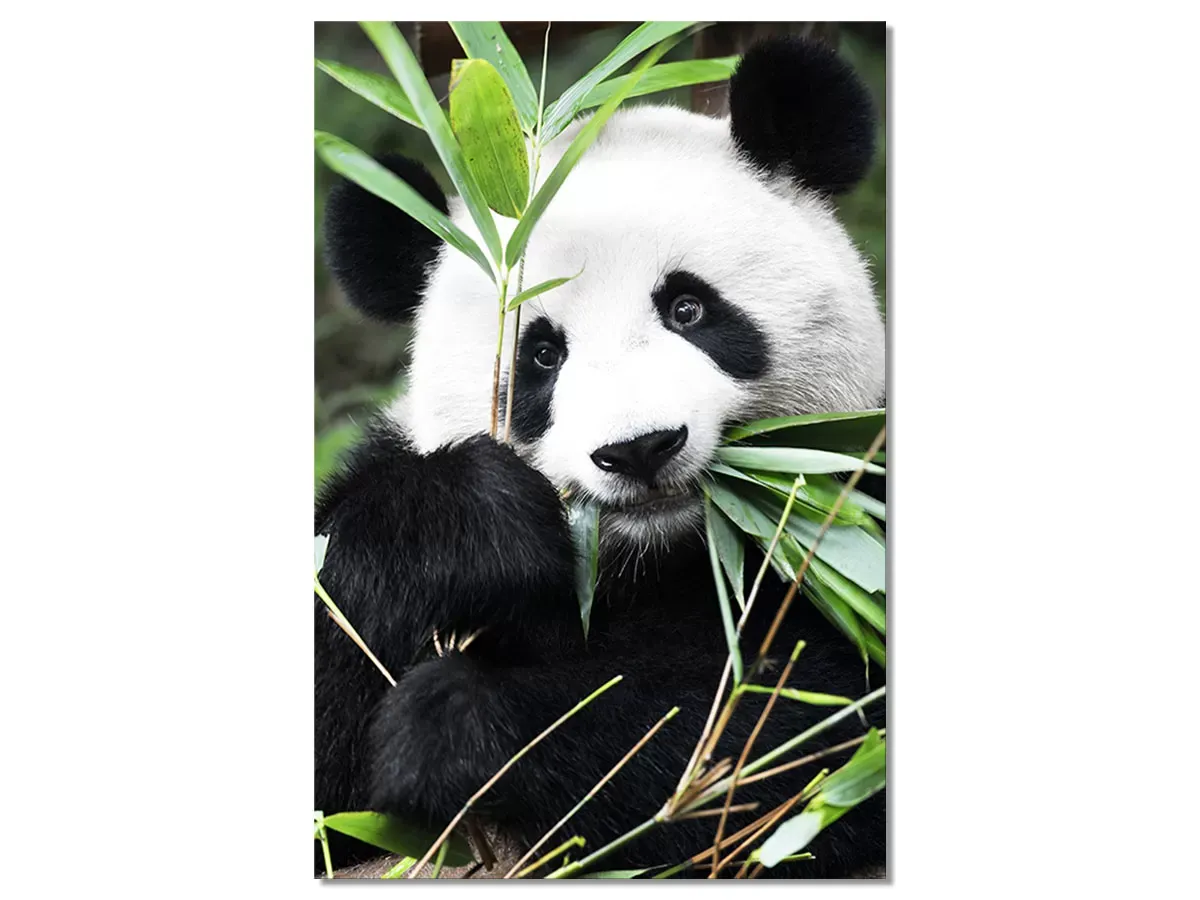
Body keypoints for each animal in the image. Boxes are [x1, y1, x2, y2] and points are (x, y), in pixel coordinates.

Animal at [315, 36, 886, 878]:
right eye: (542, 355)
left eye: (688, 308)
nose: (639, 448)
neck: (653, 560)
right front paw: (472, 526)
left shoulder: (854, 508)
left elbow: (799, 727)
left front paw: (456, 726)